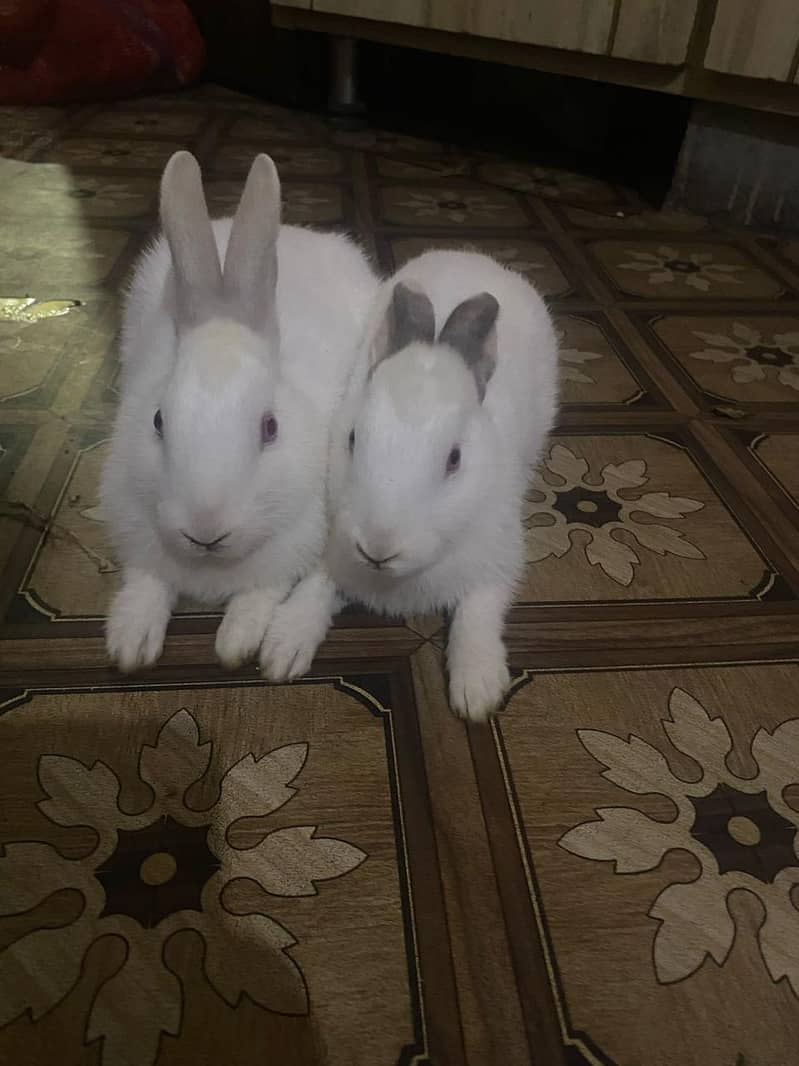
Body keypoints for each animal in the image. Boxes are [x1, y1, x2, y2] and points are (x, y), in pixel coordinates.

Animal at [101, 150, 378, 672]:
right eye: (158, 421)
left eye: (270, 428)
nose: (205, 529)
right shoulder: (136, 530)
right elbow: (146, 582)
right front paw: (130, 644)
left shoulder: (293, 548)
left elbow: (262, 595)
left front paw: (239, 643)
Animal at [261, 248, 558, 720]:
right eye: (352, 439)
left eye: (455, 459)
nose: (378, 547)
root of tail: (471, 255)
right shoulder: (334, 550)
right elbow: (315, 587)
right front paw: (284, 646)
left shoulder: (496, 559)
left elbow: (479, 611)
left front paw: (477, 691)